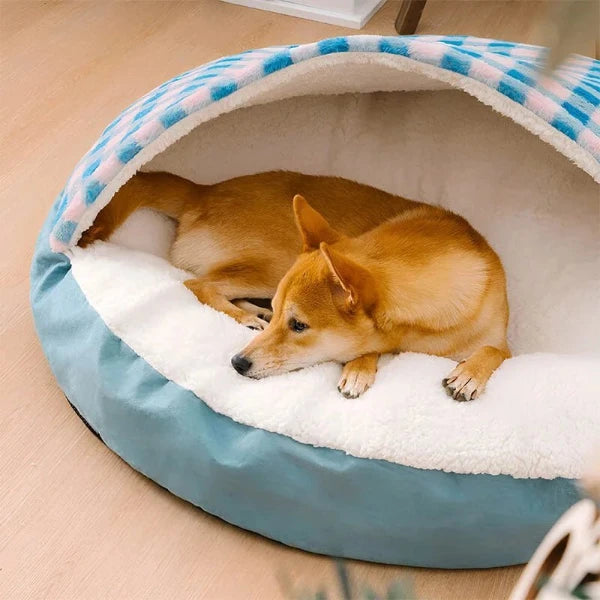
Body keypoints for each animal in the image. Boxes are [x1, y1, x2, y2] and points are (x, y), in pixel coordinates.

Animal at [78, 171, 510, 400]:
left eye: (299, 325)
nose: (237, 363)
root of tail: (201, 191)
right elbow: (367, 350)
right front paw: (359, 368)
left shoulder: (501, 342)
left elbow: (493, 352)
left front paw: (470, 373)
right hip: (271, 265)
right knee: (197, 283)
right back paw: (246, 316)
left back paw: (252, 313)